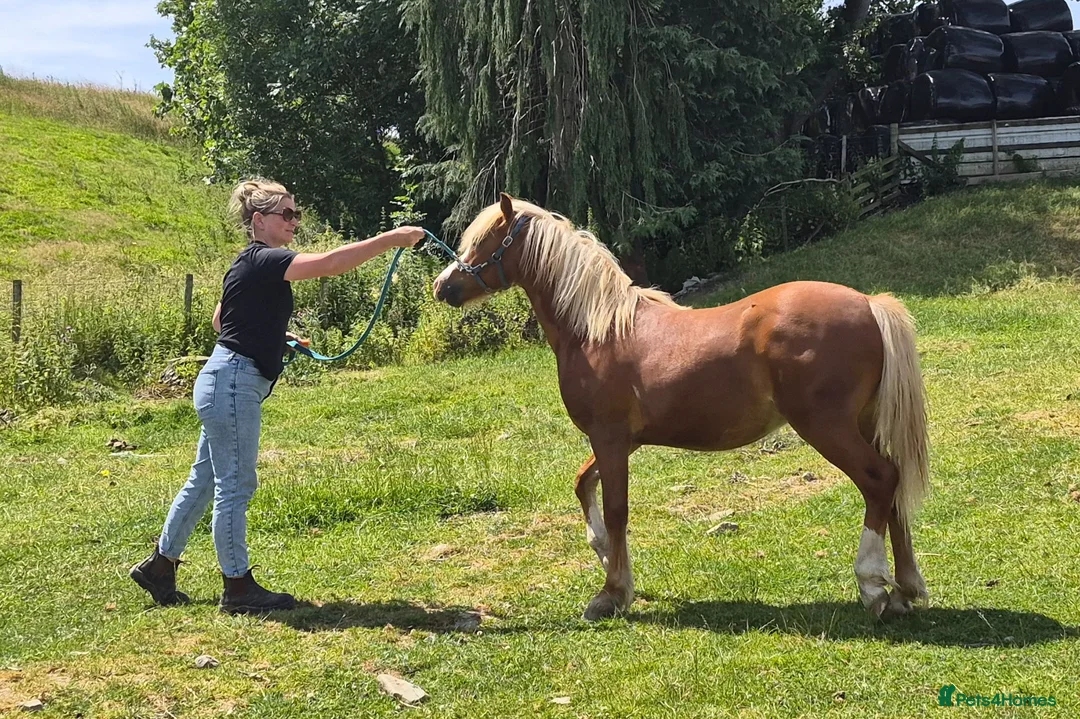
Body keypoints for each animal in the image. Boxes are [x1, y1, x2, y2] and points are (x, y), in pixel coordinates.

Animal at [433, 193, 930, 621]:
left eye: (485, 241)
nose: (442, 286)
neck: (598, 328)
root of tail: (869, 303)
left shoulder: (609, 437)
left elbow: (617, 508)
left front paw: (611, 593)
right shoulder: (623, 440)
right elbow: (583, 484)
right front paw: (604, 554)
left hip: (827, 427)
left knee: (879, 480)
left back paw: (873, 585)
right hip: (865, 423)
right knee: (895, 484)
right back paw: (905, 588)